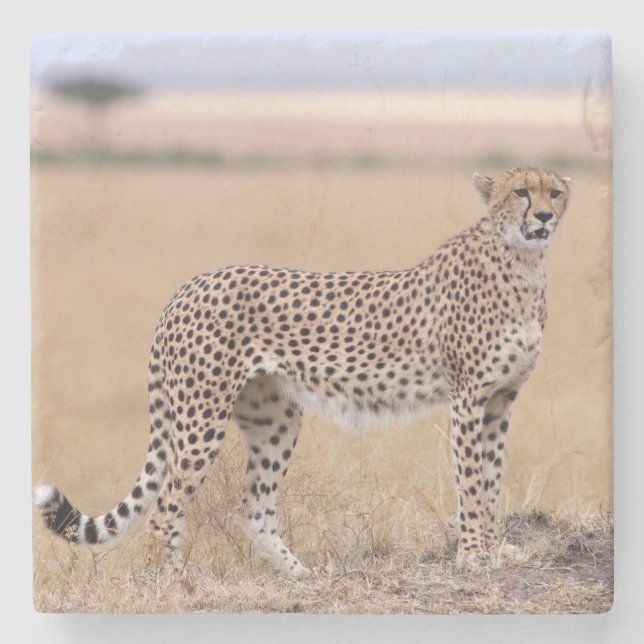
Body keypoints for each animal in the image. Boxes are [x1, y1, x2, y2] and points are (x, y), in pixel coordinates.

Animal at [34, 166, 571, 574]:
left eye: (556, 192)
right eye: (522, 192)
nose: (544, 216)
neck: (522, 263)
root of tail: (188, 286)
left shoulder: (500, 401)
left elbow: (492, 478)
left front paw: (496, 547)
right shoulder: (468, 400)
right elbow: (472, 482)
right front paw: (474, 556)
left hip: (275, 417)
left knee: (254, 508)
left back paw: (300, 575)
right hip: (201, 418)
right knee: (165, 507)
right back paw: (165, 582)